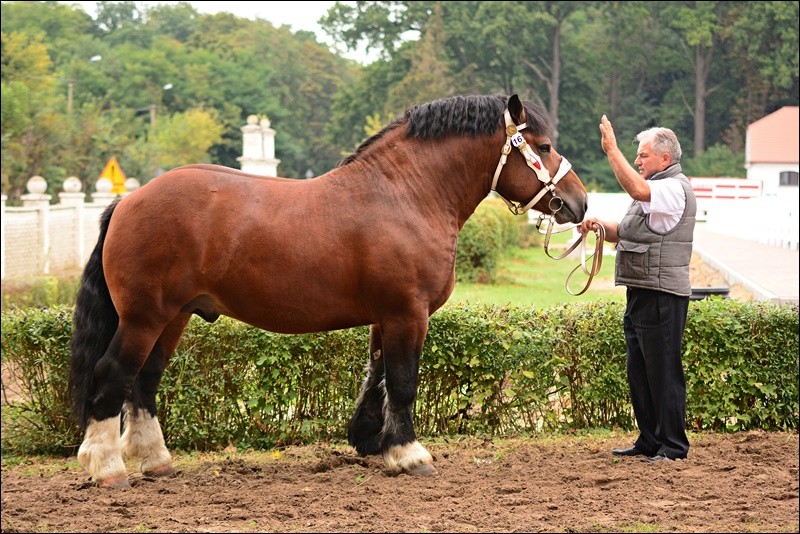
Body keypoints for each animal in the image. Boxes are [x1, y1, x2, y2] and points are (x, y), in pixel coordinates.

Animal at [69, 93, 588, 490]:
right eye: (543, 145)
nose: (579, 203)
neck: (404, 193)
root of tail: (127, 202)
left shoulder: (386, 315)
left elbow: (377, 376)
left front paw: (371, 441)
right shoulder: (408, 313)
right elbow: (402, 381)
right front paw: (410, 454)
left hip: (173, 317)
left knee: (144, 381)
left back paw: (156, 460)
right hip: (144, 318)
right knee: (113, 374)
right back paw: (107, 467)